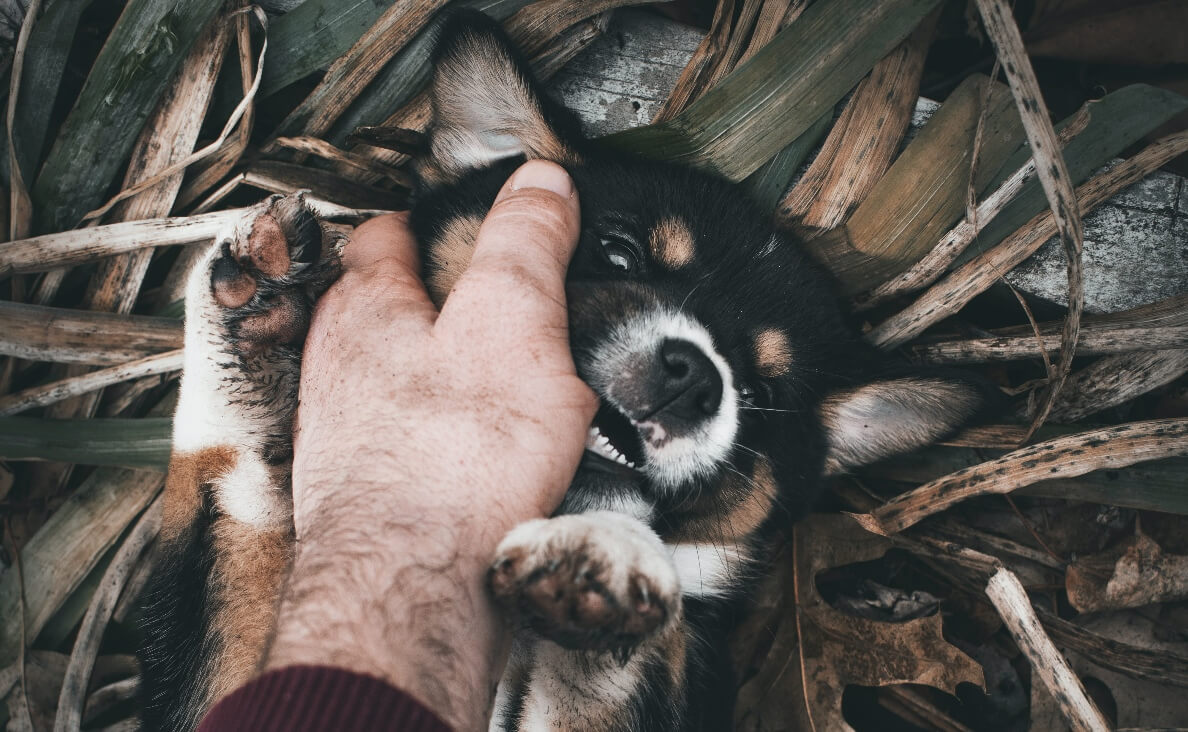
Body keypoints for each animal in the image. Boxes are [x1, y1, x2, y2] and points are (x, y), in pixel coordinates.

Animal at [138, 11, 993, 732]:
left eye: (759, 395)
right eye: (617, 252)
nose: (696, 379)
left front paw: (608, 561)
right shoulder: (226, 680)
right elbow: (236, 512)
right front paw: (256, 335)